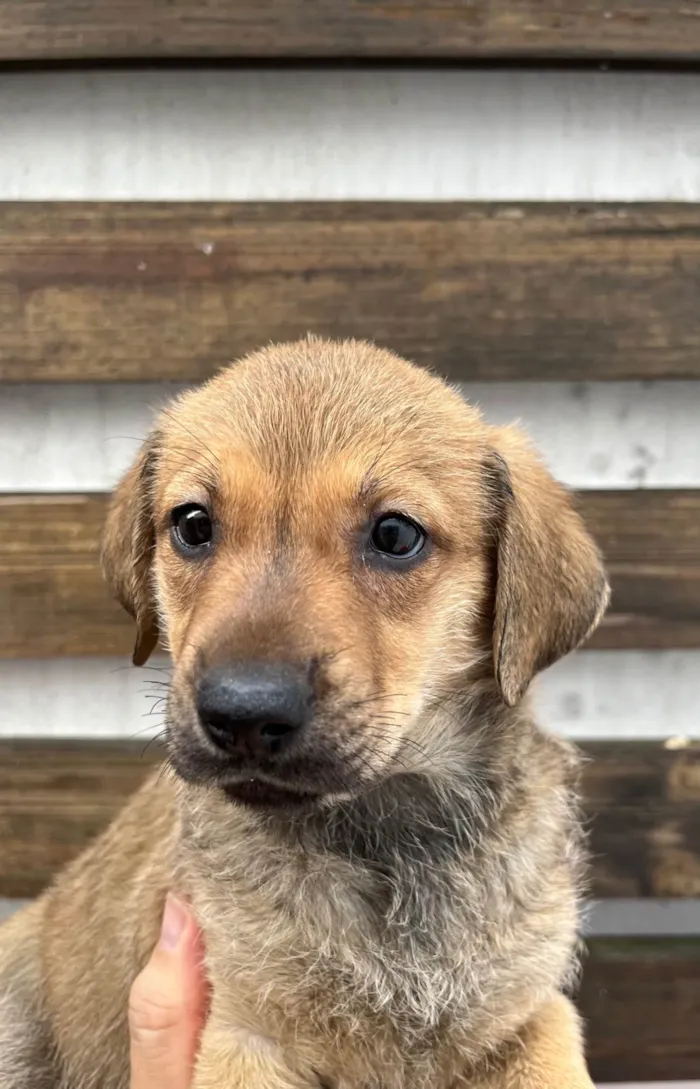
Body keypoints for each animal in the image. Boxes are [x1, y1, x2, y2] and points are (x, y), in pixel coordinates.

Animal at [0, 339, 609, 1089]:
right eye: (193, 525)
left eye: (395, 534)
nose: (242, 712)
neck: (383, 839)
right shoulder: (246, 1033)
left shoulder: (530, 1015)